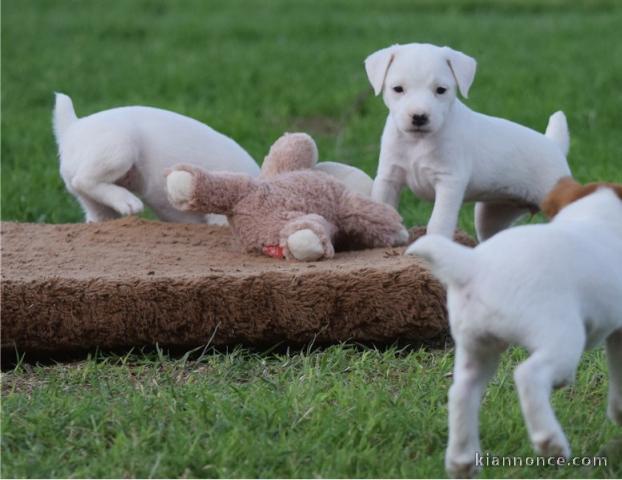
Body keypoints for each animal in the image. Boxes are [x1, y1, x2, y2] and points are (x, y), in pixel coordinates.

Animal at [366, 43, 576, 242]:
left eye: (441, 90)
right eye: (398, 89)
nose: (419, 117)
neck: (418, 142)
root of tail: (554, 145)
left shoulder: (449, 182)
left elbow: (439, 221)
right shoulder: (389, 178)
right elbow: (383, 206)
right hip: (491, 215)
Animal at [410, 178, 622, 478]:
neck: (595, 213)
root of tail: (473, 266)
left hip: (476, 346)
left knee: (462, 392)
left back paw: (462, 461)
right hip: (562, 337)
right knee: (528, 375)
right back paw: (550, 441)